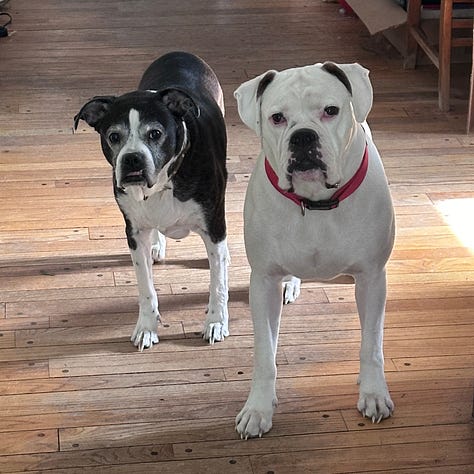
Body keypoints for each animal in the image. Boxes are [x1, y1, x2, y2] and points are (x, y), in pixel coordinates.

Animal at [74, 52, 230, 352]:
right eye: (113, 136)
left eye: (155, 133)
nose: (132, 159)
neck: (164, 183)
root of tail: (180, 53)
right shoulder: (134, 233)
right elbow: (145, 286)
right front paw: (146, 327)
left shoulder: (214, 225)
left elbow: (217, 283)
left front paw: (216, 322)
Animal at [235, 62, 394, 436]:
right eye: (277, 118)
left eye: (331, 111)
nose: (303, 136)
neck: (316, 202)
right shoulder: (263, 281)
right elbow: (264, 354)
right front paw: (258, 408)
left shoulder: (372, 279)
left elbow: (372, 346)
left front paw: (373, 392)